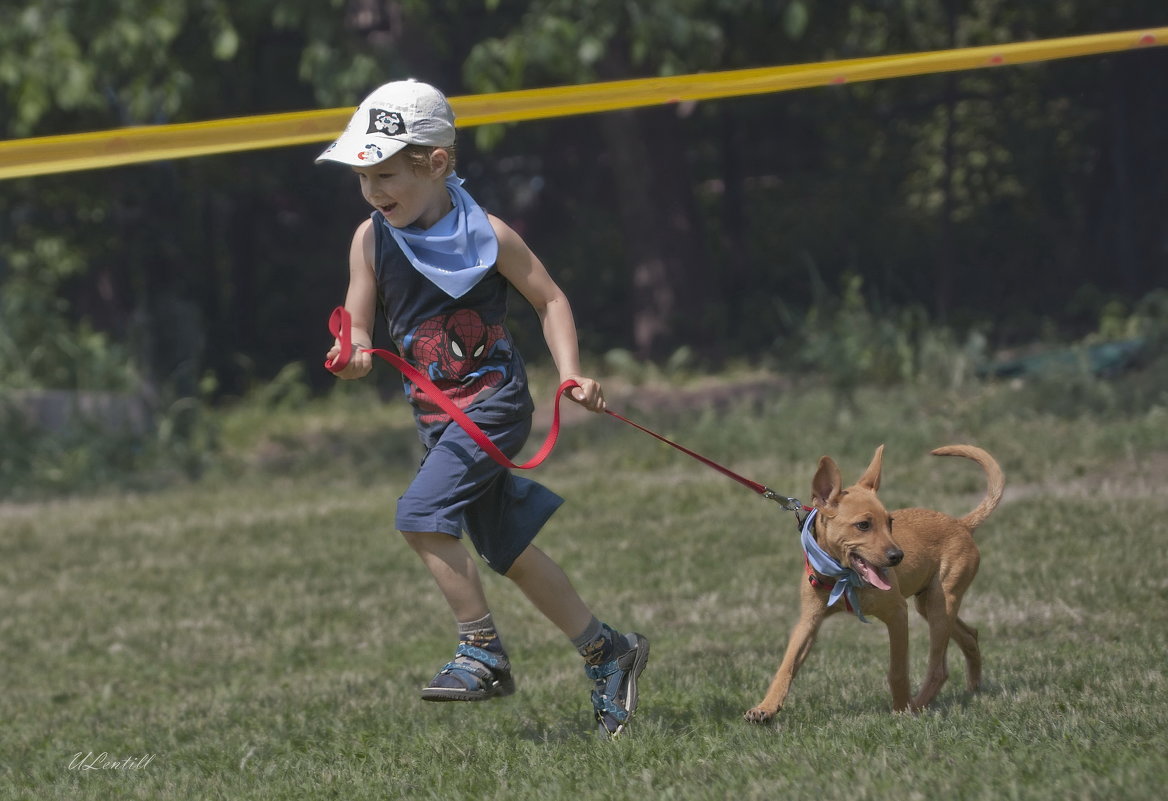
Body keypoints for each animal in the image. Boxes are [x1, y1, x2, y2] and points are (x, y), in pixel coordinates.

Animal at [747, 441, 1004, 723]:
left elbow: (897, 671)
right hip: (929, 604)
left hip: (941, 602)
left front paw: (901, 711)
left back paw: (917, 706)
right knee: (969, 635)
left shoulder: (898, 614)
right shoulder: (809, 620)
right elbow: (787, 665)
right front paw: (766, 707)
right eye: (863, 525)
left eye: (890, 522)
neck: (843, 576)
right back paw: (973, 689)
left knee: (939, 669)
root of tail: (962, 524)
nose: (898, 556)